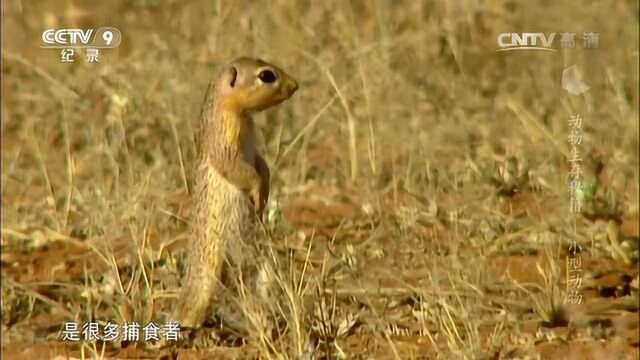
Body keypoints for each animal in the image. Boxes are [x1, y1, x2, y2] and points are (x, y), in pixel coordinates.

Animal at [171, 56, 298, 330]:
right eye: (267, 75)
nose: (296, 85)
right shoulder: (224, 137)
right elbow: (237, 168)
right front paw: (258, 194)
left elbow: (262, 164)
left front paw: (264, 194)